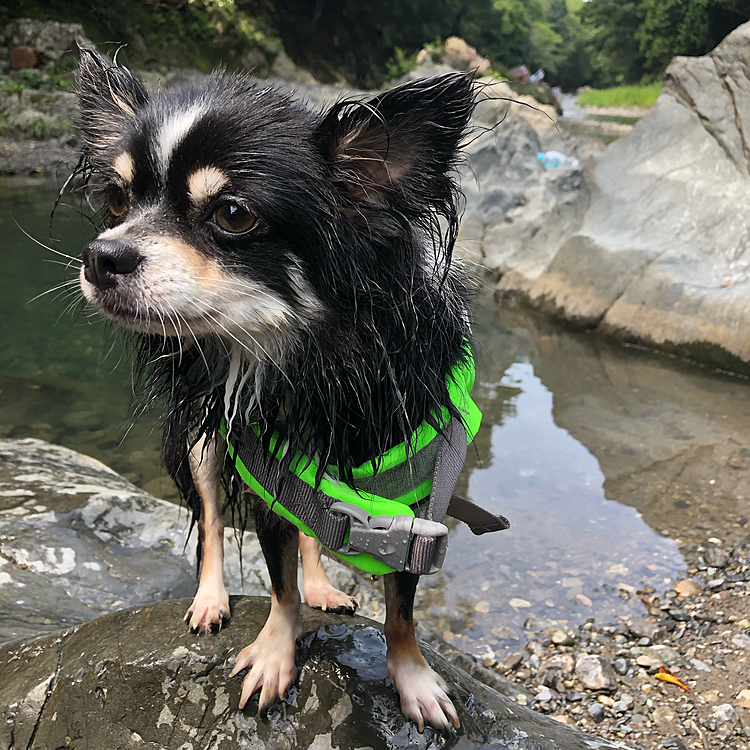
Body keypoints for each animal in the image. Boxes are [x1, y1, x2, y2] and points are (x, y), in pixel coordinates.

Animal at [75, 47, 476, 736]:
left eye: (233, 215)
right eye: (117, 197)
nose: (102, 254)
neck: (312, 363)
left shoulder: (417, 507)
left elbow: (401, 606)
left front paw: (414, 678)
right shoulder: (264, 474)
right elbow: (277, 581)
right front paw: (274, 653)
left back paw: (323, 583)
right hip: (205, 445)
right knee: (212, 521)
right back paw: (211, 597)